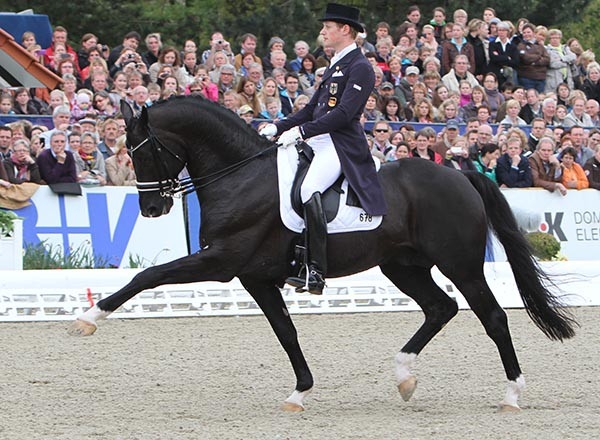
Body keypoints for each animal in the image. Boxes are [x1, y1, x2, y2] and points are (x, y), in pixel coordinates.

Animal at [68, 96, 576, 412]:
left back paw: (511, 395)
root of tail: (460, 173)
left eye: (144, 151)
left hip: (462, 265)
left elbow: (147, 276)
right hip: (401, 265)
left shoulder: (220, 261)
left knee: (492, 317)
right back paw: (404, 376)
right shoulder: (254, 277)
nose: (152, 209)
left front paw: (89, 318)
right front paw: (299, 393)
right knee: (440, 307)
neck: (240, 176)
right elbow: (286, 333)